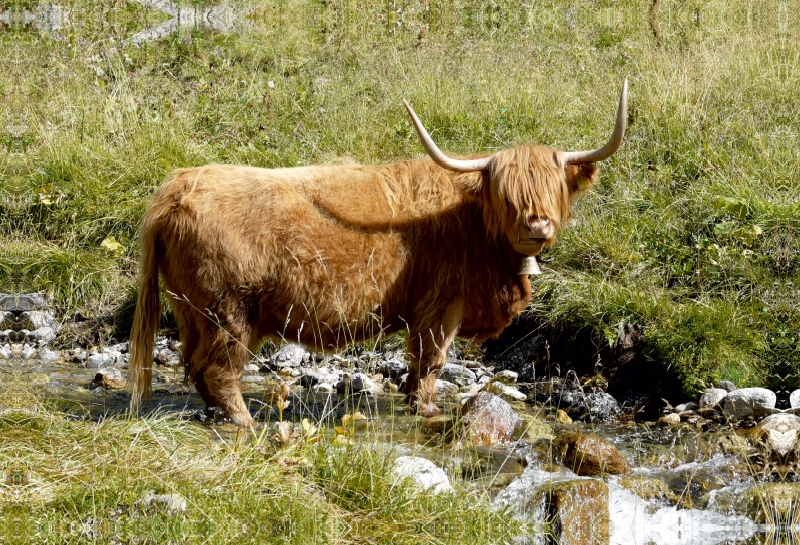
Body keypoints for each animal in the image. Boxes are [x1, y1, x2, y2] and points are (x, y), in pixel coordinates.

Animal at [131, 79, 628, 424]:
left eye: (552, 189)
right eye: (507, 194)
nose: (536, 225)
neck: (473, 224)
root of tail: (176, 187)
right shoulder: (441, 304)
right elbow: (431, 361)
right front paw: (426, 410)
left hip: (192, 310)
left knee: (195, 366)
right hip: (229, 311)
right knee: (218, 369)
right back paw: (244, 421)